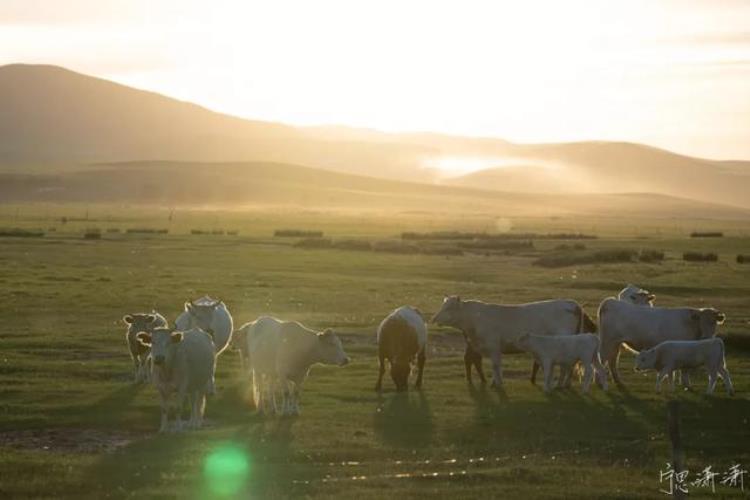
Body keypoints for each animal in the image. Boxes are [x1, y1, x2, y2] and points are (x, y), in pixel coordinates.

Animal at [434, 296, 592, 386]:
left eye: (449, 307)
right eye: (442, 305)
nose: (434, 318)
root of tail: (571, 303)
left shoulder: (493, 347)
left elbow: (496, 365)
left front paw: (498, 383)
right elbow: (495, 366)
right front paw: (495, 382)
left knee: (568, 364)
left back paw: (561, 384)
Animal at [596, 298, 724, 384]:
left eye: (713, 322)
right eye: (701, 321)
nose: (706, 336)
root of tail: (610, 301)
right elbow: (684, 370)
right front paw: (686, 384)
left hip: (615, 343)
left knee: (612, 360)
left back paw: (618, 381)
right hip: (607, 342)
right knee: (602, 359)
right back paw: (599, 382)